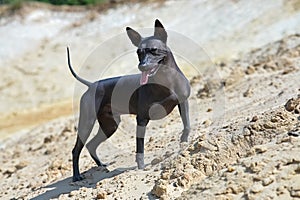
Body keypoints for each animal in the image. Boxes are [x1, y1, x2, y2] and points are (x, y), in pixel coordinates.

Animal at [67, 19, 191, 181]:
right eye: (139, 52)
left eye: (154, 50)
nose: (142, 66)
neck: (166, 81)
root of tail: (92, 85)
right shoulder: (142, 119)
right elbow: (140, 148)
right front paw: (141, 167)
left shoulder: (183, 102)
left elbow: (187, 125)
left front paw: (184, 143)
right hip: (87, 123)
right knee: (76, 149)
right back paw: (76, 176)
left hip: (110, 125)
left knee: (91, 145)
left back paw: (101, 166)